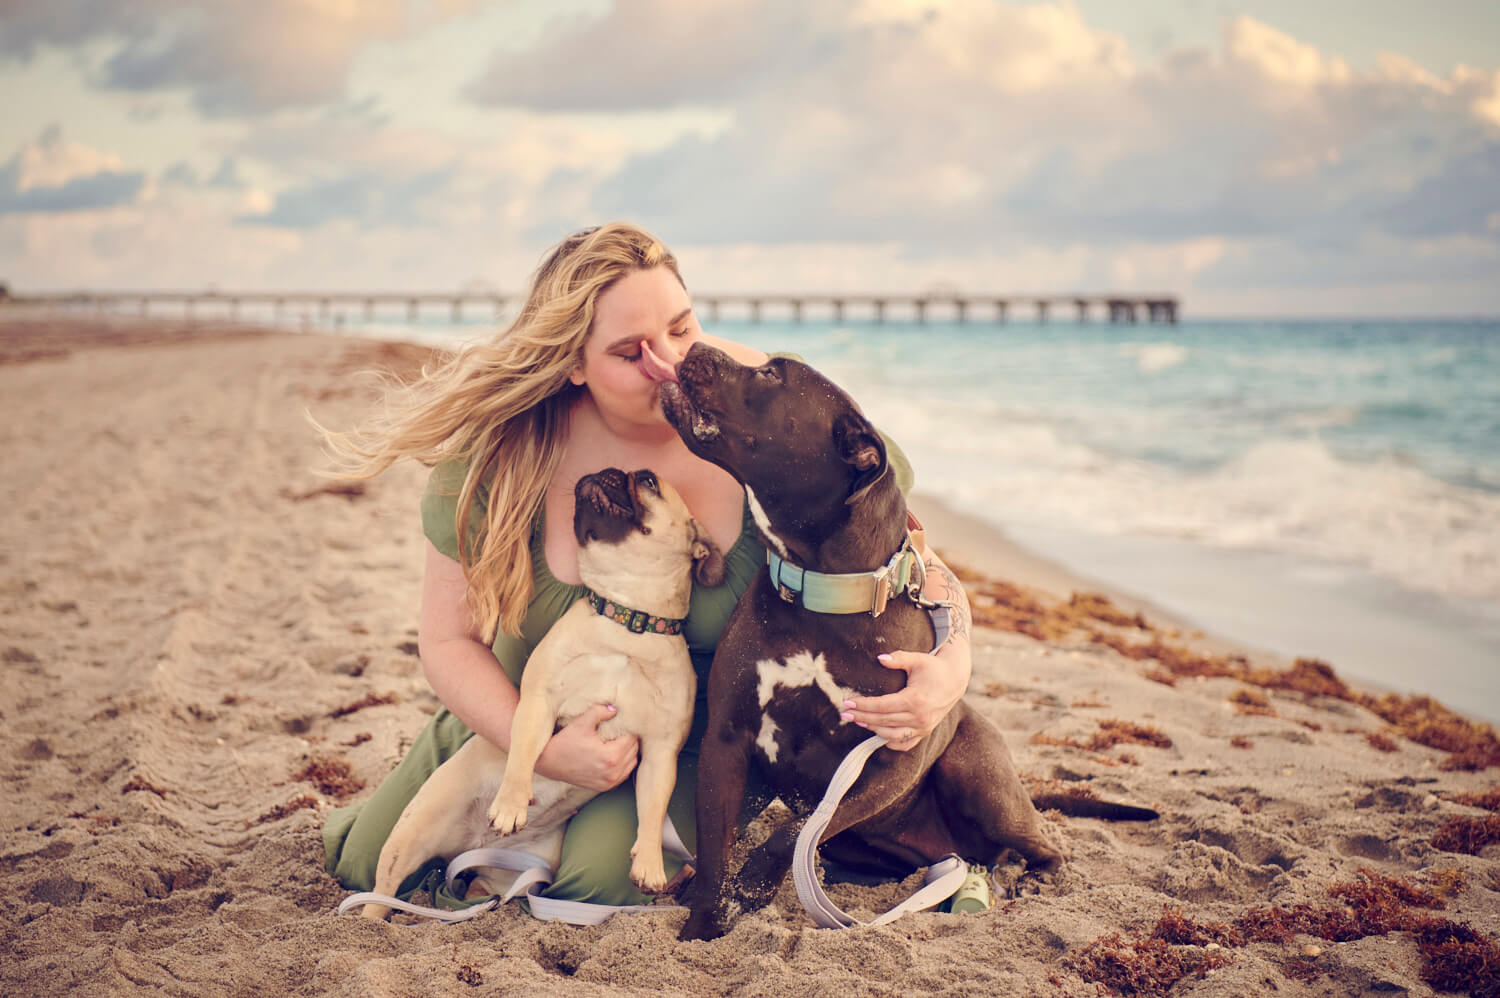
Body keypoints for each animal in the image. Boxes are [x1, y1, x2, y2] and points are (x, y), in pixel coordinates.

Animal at [663, 346, 1152, 936]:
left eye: (771, 373)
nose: (695, 347)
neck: (822, 595)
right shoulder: (727, 740)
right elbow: (717, 850)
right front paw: (703, 926)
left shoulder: (892, 762)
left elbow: (789, 834)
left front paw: (751, 889)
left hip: (976, 770)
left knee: (1043, 846)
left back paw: (1029, 877)